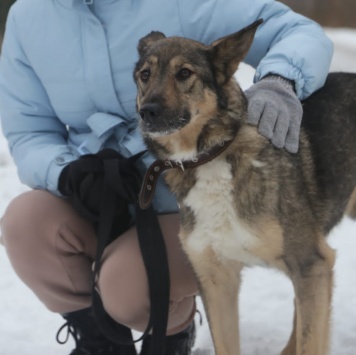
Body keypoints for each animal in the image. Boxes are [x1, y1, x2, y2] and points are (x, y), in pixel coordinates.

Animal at [133, 20, 356, 355]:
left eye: (184, 73)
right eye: (145, 75)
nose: (146, 111)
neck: (209, 157)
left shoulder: (311, 263)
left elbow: (311, 340)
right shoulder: (216, 280)